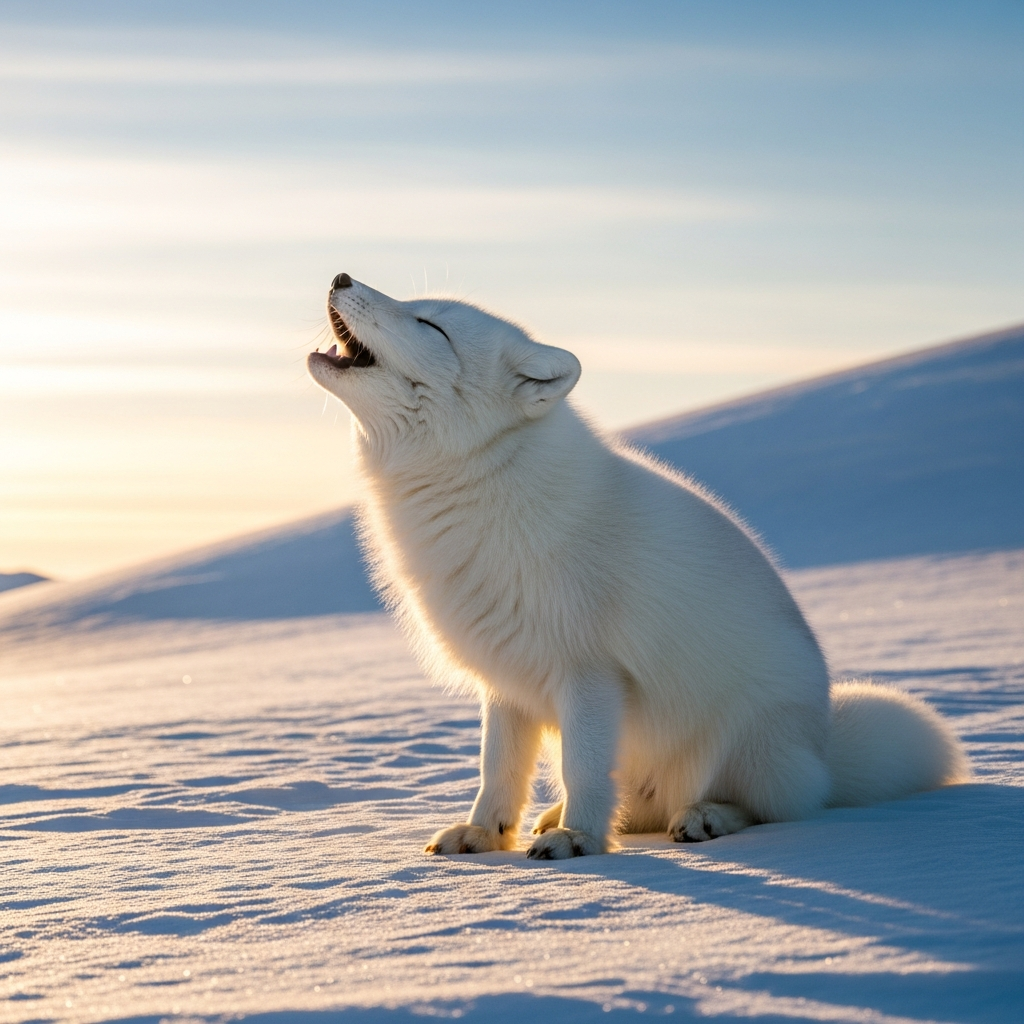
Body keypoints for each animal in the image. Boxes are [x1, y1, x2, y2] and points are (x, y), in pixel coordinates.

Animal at [307, 272, 969, 859]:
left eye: (431, 325)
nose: (340, 275)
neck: (478, 480)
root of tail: (824, 752)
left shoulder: (589, 672)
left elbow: (582, 766)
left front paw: (579, 840)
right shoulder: (507, 679)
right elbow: (497, 769)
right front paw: (485, 834)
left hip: (747, 742)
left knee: (775, 807)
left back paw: (702, 816)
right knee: (643, 801)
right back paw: (576, 815)